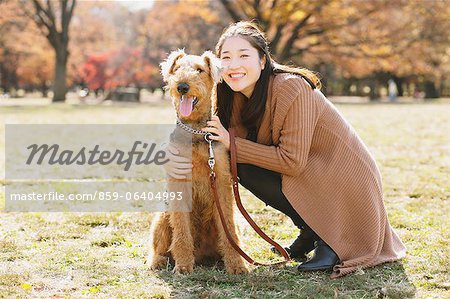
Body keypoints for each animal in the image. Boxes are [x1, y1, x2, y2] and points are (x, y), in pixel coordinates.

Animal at [149, 49, 250, 276]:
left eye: (199, 70)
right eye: (177, 68)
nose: (182, 86)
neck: (195, 131)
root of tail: (203, 254)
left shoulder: (221, 180)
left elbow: (228, 228)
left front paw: (237, 265)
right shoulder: (179, 180)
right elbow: (181, 231)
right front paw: (184, 265)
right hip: (162, 216)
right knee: (159, 247)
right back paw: (158, 262)